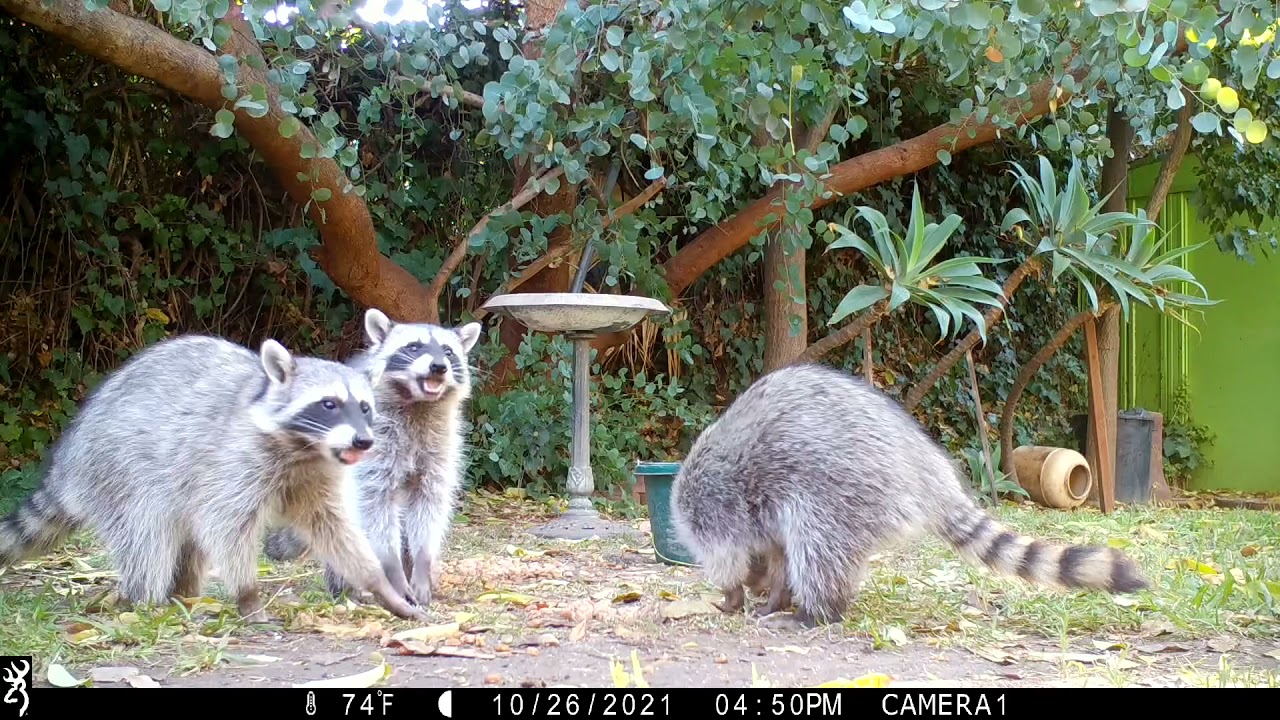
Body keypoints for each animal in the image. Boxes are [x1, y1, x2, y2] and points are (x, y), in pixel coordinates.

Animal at [0, 334, 425, 622]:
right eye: (329, 404)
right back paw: (143, 600)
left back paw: (184, 594)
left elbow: (335, 530)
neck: (306, 447)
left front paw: (379, 583)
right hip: (118, 470)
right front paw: (247, 593)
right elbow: (227, 526)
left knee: (186, 543)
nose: (364, 441)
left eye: (365, 408)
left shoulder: (316, 476)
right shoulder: (234, 463)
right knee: (147, 538)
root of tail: (69, 458)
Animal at [266, 308, 481, 609]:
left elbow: (429, 507)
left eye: (448, 351)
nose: (439, 366)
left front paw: (422, 565)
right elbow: (375, 508)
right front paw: (393, 571)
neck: (418, 405)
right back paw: (347, 587)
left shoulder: (439, 446)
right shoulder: (374, 448)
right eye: (413, 347)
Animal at [671, 362, 1150, 628]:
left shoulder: (714, 507)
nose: (756, 591)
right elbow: (777, 554)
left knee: (819, 544)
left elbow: (731, 555)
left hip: (842, 486)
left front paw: (737, 594)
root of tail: (923, 468)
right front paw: (771, 593)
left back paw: (818, 613)